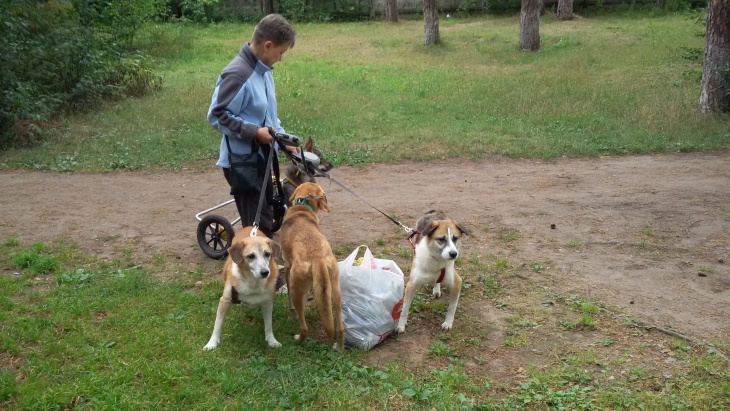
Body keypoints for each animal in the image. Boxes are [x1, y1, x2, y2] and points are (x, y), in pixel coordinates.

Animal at [280, 182, 346, 352]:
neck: (302, 207)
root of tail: (318, 259)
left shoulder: (287, 269)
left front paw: (291, 314)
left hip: (296, 289)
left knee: (304, 327)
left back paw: (299, 339)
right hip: (335, 291)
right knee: (340, 327)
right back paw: (339, 347)